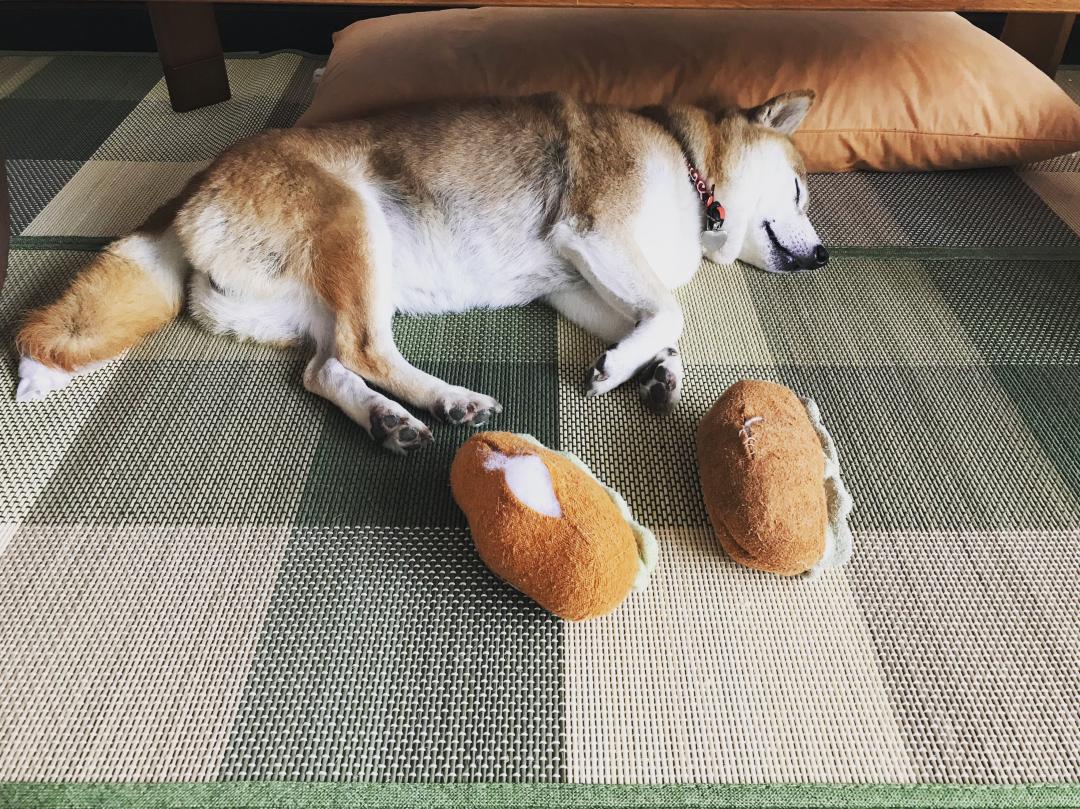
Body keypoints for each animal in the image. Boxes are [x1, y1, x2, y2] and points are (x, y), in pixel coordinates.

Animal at [14, 90, 825, 453]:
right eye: (799, 189)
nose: (822, 256)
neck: (692, 172)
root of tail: (197, 185)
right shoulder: (596, 236)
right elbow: (670, 310)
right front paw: (625, 366)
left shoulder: (580, 282)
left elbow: (658, 321)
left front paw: (656, 371)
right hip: (354, 225)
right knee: (365, 349)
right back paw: (449, 401)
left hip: (313, 299)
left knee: (326, 366)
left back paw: (391, 417)